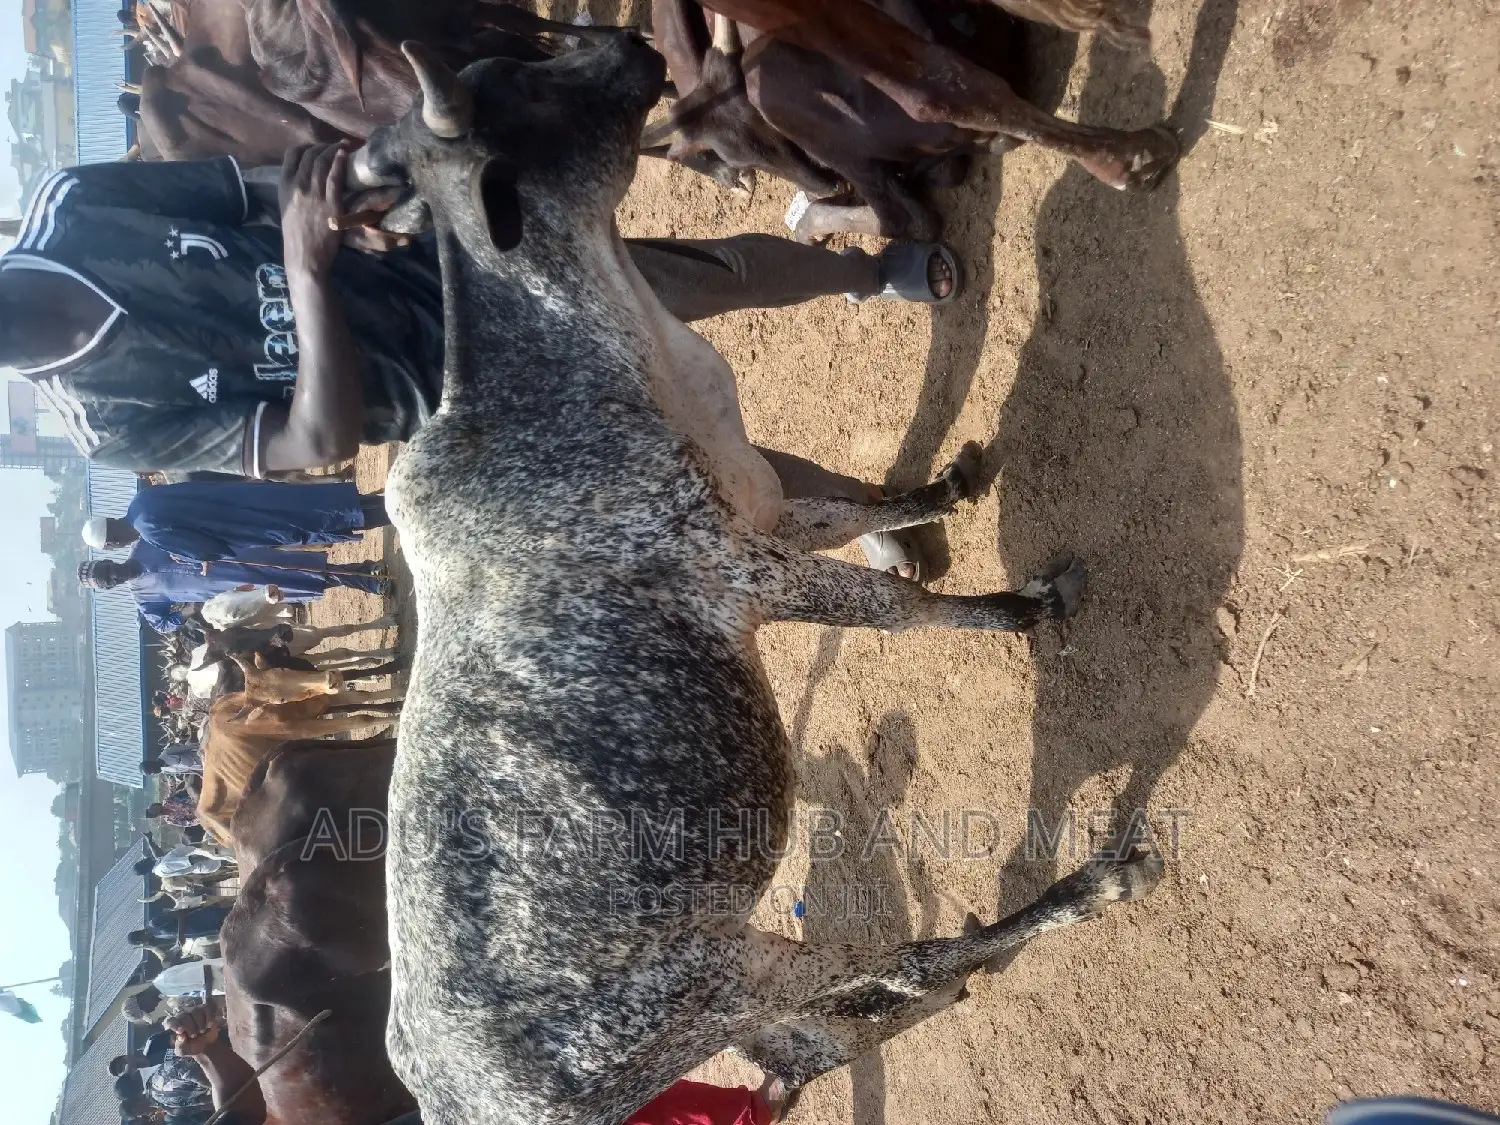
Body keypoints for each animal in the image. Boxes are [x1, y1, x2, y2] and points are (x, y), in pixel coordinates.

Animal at [360, 35, 1162, 1124]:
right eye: (522, 86)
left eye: (506, 61)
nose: (630, 45)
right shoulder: (738, 569)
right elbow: (897, 608)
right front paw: (1021, 608)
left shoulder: (765, 513)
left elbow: (865, 510)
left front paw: (946, 489)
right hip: (722, 979)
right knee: (894, 963)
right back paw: (1083, 892)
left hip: (738, 998)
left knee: (837, 1028)